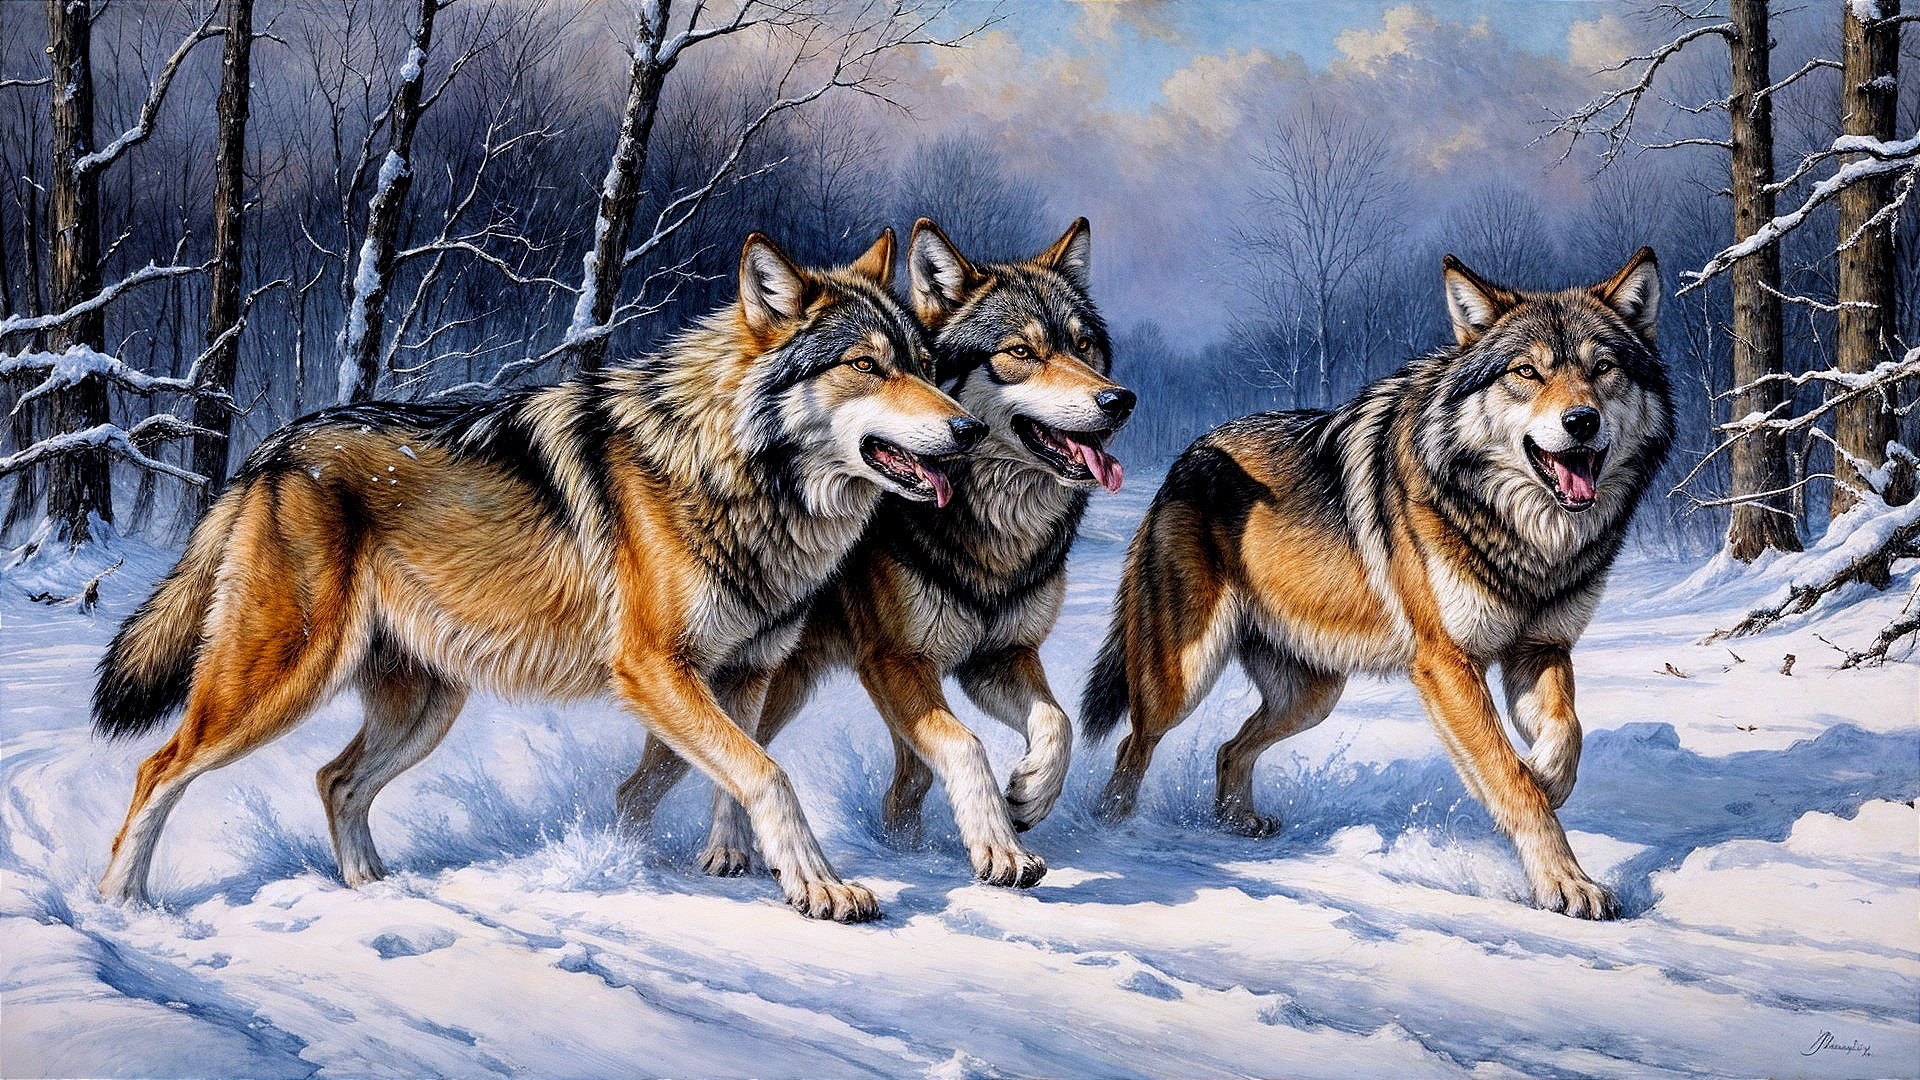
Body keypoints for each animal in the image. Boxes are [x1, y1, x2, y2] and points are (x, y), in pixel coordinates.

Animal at [91, 230, 984, 922]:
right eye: (868, 367)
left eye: (925, 364)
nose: (970, 429)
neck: (734, 474)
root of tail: (270, 451)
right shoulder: (655, 668)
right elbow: (769, 775)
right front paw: (823, 888)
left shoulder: (749, 673)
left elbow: (737, 776)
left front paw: (745, 867)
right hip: (278, 682)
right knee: (157, 768)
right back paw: (120, 906)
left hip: (426, 706)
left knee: (334, 779)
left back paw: (372, 890)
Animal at [616, 218, 1133, 888]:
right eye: (1021, 352)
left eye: (1084, 346)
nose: (1119, 401)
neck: (987, 531)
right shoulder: (896, 660)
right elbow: (968, 745)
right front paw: (1002, 849)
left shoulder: (998, 657)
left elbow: (1057, 722)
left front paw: (1030, 794)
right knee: (645, 786)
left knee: (900, 786)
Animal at [1080, 249, 1671, 919]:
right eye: (1527, 371)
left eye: (1604, 368)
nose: (1581, 420)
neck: (1524, 537)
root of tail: (1182, 462)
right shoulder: (1447, 663)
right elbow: (1508, 773)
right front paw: (1566, 882)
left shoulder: (1540, 649)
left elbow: (1565, 735)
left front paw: (1547, 777)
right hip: (1182, 679)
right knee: (1132, 747)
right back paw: (1109, 831)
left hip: (1312, 697)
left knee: (1229, 748)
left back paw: (1236, 824)